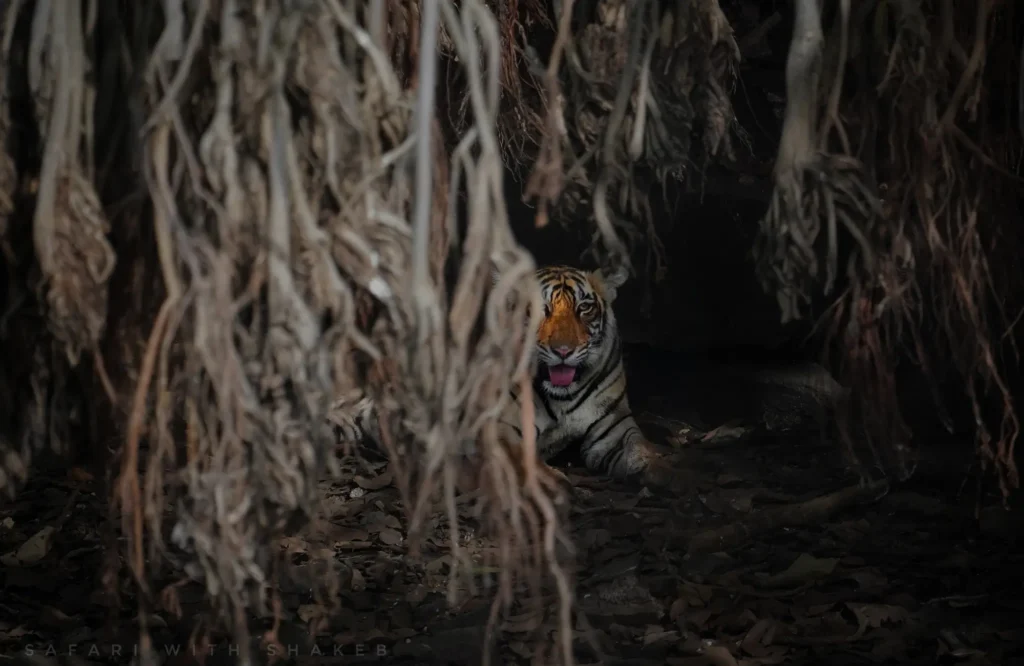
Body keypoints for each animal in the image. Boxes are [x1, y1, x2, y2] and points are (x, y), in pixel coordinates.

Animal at [331, 264, 681, 492]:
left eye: (584, 308)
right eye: (539, 309)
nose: (563, 350)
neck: (563, 395)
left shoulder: (614, 428)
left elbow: (641, 448)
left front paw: (669, 472)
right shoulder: (499, 427)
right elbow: (523, 460)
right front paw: (553, 483)